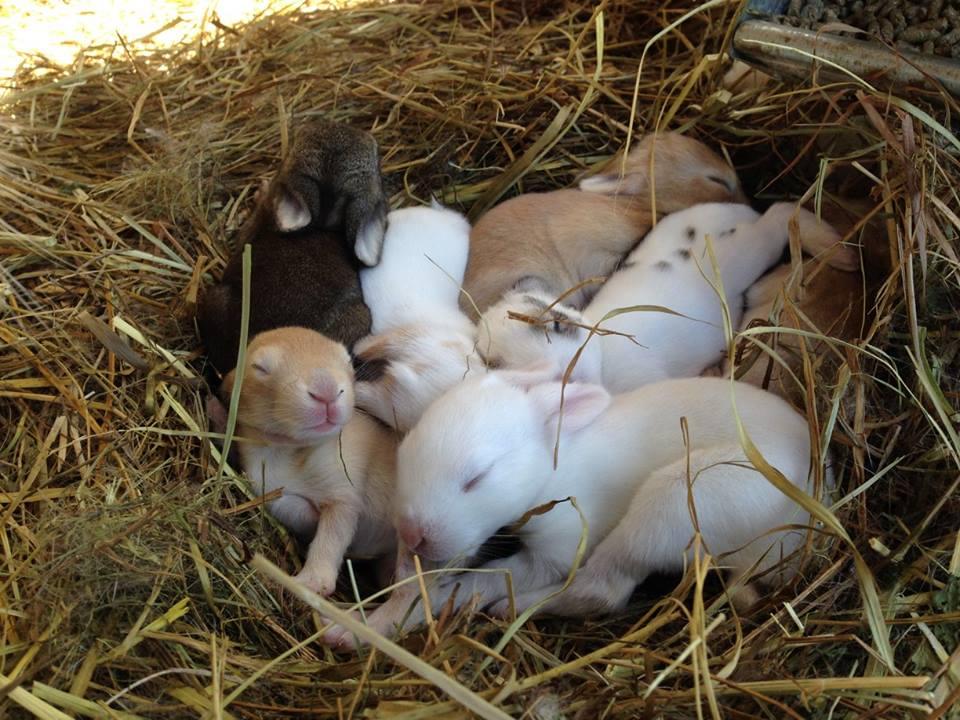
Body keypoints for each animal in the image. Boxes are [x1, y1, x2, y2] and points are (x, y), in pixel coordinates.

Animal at [219, 326, 397, 596]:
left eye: (348, 361)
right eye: (260, 368)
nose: (326, 391)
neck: (288, 449)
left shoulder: (344, 493)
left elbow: (332, 535)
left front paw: (311, 582)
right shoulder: (266, 488)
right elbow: (290, 507)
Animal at [320, 367, 821, 648]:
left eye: (477, 477)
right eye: (406, 454)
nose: (411, 535)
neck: (551, 472)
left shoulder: (557, 550)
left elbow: (483, 578)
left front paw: (357, 629)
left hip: (675, 500)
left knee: (603, 589)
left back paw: (512, 608)